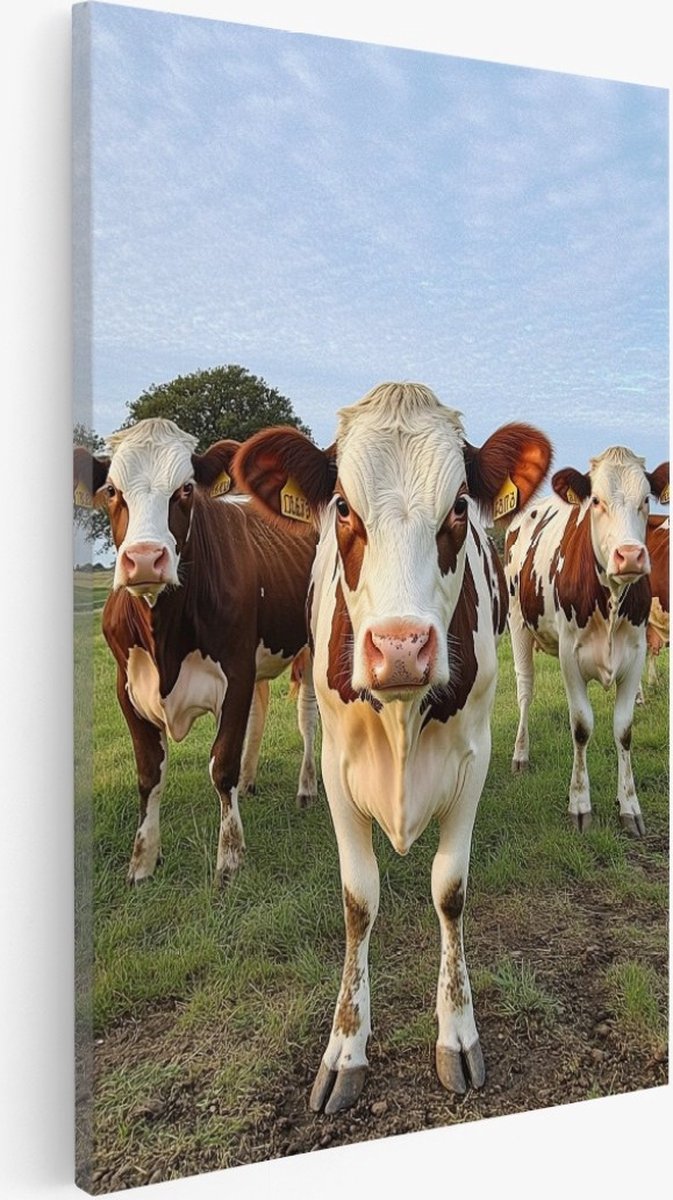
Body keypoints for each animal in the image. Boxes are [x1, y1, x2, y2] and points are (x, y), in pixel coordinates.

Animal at [73, 417, 318, 887]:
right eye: (111, 489)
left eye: (186, 488)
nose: (144, 559)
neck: (163, 638)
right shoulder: (126, 687)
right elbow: (149, 773)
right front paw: (142, 862)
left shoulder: (235, 675)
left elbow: (221, 765)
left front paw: (230, 859)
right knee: (260, 711)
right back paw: (251, 781)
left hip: (312, 646)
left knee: (308, 717)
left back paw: (306, 788)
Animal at [233, 381, 552, 1112]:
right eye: (344, 507)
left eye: (458, 506)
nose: (402, 647)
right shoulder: (334, 767)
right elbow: (359, 901)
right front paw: (345, 1046)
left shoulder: (474, 760)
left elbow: (449, 890)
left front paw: (457, 1033)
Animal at [505, 446, 669, 836]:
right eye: (596, 501)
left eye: (646, 500)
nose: (630, 555)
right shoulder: (570, 656)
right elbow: (581, 727)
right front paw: (579, 804)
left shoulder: (636, 652)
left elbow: (623, 730)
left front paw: (629, 805)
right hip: (517, 622)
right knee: (525, 691)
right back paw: (521, 753)